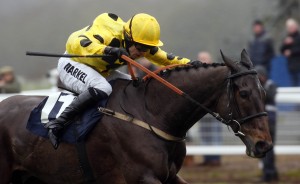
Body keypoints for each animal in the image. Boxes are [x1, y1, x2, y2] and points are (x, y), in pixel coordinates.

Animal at [0, 49, 272, 183]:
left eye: (263, 91)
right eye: (244, 93)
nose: (264, 145)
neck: (151, 113)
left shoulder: (170, 176)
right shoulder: (142, 177)